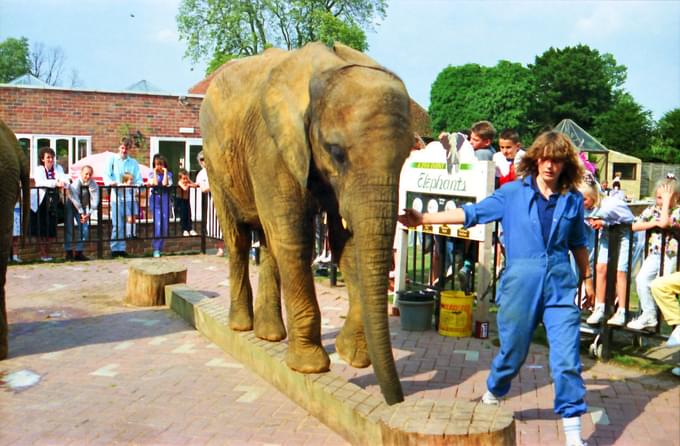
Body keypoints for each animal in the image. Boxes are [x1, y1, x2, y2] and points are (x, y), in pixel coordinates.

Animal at [202, 41, 412, 404]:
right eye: (335, 151)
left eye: (406, 158)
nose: (397, 399)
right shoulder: (271, 147)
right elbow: (295, 240)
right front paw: (310, 367)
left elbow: (347, 245)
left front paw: (352, 356)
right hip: (214, 164)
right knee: (239, 239)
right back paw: (241, 327)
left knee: (268, 241)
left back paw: (270, 335)